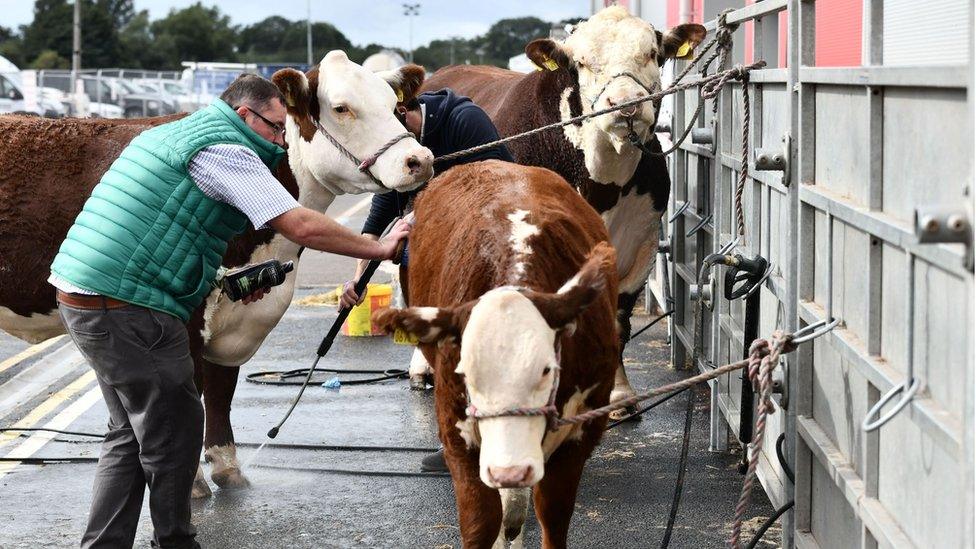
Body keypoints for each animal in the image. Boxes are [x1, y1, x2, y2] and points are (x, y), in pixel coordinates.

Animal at [0, 52, 430, 496]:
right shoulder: (185, 319)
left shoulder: (236, 311)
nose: (419, 160)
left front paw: (227, 466)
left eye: (394, 105)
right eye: (342, 108)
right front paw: (190, 482)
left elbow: (222, 390)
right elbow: (186, 395)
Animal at [374, 158, 616, 548]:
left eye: (547, 369)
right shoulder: (456, 431)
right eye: (465, 373)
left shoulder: (583, 430)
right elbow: (482, 521)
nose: (510, 470)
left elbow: (551, 513)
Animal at [424, 6, 704, 414]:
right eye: (583, 62)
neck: (602, 184)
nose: (626, 103)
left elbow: (617, 317)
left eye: (652, 53)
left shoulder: (641, 242)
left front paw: (618, 394)